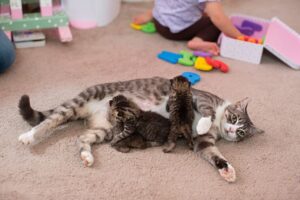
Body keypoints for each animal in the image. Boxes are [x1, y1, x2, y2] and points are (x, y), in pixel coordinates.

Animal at [17, 76, 264, 183]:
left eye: (241, 132)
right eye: (234, 117)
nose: (231, 130)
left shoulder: (205, 142)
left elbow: (213, 154)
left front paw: (227, 169)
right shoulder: (201, 99)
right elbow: (206, 112)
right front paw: (205, 121)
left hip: (108, 129)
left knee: (82, 138)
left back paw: (87, 156)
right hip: (79, 102)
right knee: (50, 121)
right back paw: (28, 136)